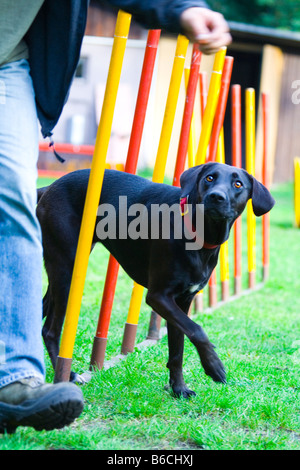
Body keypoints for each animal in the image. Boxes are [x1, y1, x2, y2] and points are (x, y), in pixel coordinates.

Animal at [37, 163, 274, 398]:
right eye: (209, 178)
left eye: (238, 184)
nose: (216, 196)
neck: (199, 235)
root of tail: (49, 187)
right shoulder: (158, 296)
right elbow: (197, 329)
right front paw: (213, 366)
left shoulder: (182, 301)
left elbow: (178, 347)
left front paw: (179, 389)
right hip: (68, 271)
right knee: (50, 330)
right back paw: (66, 376)